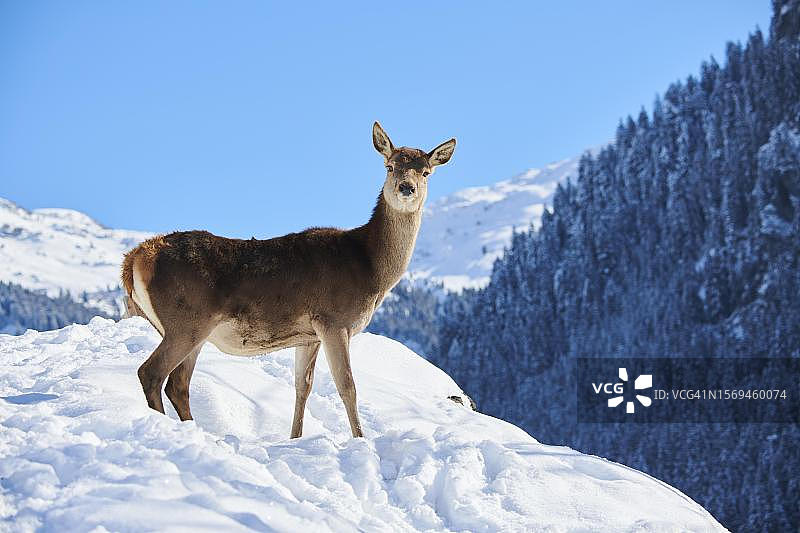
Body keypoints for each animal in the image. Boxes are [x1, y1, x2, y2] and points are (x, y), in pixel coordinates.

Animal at [121, 122, 456, 439]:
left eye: (426, 172)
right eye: (389, 165)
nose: (406, 187)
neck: (370, 271)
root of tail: (134, 259)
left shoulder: (309, 335)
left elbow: (302, 387)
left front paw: (295, 439)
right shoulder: (333, 320)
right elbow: (348, 386)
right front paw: (361, 439)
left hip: (193, 330)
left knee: (177, 384)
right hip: (185, 321)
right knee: (151, 373)